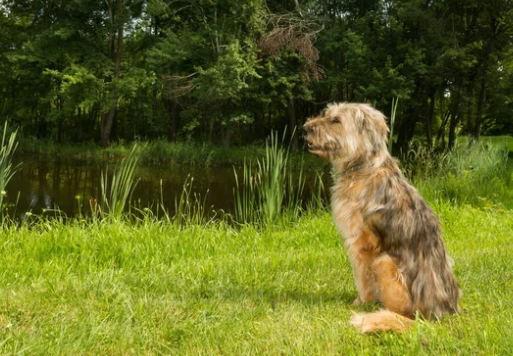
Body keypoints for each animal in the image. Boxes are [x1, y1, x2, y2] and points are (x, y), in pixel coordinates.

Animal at [302, 103, 462, 334]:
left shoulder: (361, 244)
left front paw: (361, 302)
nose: (305, 128)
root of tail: (435, 315)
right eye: (326, 114)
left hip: (384, 262)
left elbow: (362, 279)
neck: (364, 164)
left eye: (336, 120)